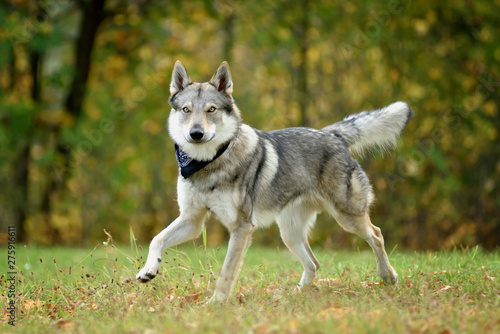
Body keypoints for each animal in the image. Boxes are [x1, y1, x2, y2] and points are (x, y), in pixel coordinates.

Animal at [137, 60, 414, 302]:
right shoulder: (192, 221)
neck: (208, 164)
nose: (196, 133)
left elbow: (226, 272)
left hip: (347, 218)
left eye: (211, 110)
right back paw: (293, 295)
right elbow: (156, 239)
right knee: (314, 263)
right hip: (290, 234)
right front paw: (148, 270)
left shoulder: (241, 227)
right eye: (186, 110)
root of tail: (331, 133)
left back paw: (388, 277)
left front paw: (215, 304)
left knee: (376, 235)